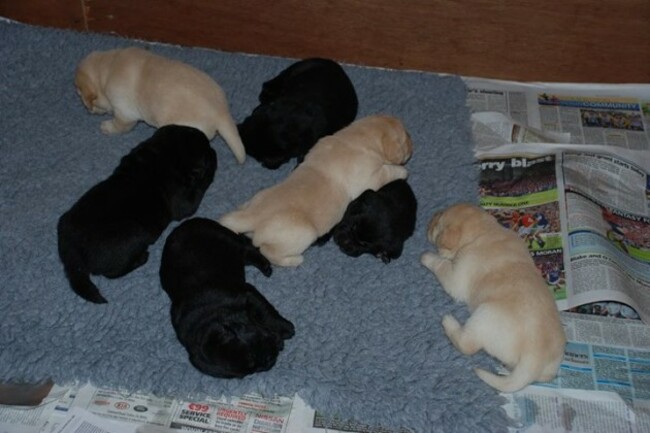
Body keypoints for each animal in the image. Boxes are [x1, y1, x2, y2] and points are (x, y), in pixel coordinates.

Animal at [57, 124, 216, 304]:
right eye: (206, 149)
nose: (212, 148)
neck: (164, 155)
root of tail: (71, 250)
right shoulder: (183, 203)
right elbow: (198, 191)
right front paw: (212, 165)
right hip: (135, 236)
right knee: (112, 273)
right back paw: (141, 258)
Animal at [74, 46, 246, 163]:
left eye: (80, 94)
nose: (87, 109)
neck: (109, 67)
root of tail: (221, 112)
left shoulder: (125, 112)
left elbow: (120, 125)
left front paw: (108, 127)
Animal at [159, 218, 294, 376]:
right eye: (252, 368)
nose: (268, 359)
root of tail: (183, 224)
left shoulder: (248, 294)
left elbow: (267, 313)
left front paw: (287, 328)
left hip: (228, 240)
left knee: (247, 247)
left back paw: (266, 267)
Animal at [218, 114, 410, 266]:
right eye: (406, 138)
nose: (412, 142)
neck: (357, 137)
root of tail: (252, 216)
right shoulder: (370, 179)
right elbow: (388, 172)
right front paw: (402, 171)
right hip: (304, 234)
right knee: (268, 252)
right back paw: (294, 260)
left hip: (252, 201)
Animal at [418, 202, 564, 392]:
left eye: (437, 223)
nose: (430, 220)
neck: (484, 231)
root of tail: (534, 358)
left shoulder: (456, 278)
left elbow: (441, 264)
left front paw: (427, 257)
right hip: (548, 372)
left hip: (484, 314)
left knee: (467, 345)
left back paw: (449, 323)